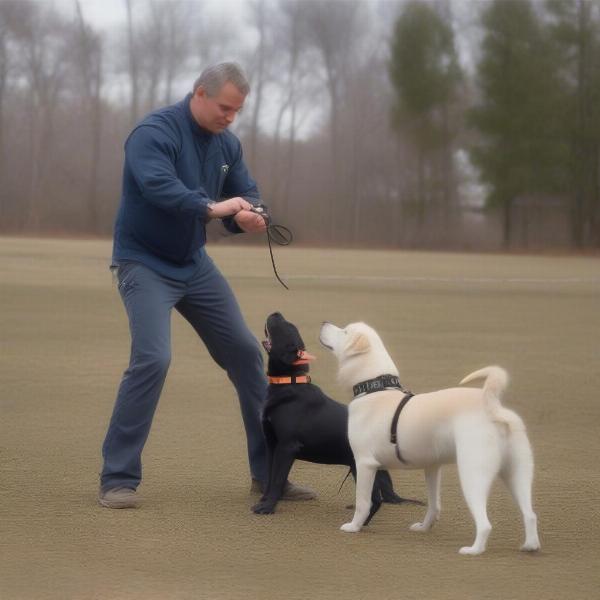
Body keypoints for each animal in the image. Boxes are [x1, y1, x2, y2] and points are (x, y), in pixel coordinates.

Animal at [251, 314, 414, 520]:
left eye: (285, 327)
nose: (276, 313)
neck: (290, 383)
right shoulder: (272, 444)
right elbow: (270, 476)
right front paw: (264, 500)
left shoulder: (287, 446)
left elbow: (278, 479)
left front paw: (268, 507)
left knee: (375, 500)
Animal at [322, 322, 540, 556]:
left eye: (345, 331)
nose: (324, 323)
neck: (375, 389)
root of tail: (493, 410)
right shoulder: (432, 467)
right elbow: (434, 505)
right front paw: (424, 527)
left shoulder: (365, 464)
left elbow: (363, 502)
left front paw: (354, 527)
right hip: (518, 473)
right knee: (530, 514)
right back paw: (530, 546)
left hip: (473, 476)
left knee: (485, 524)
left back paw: (474, 550)